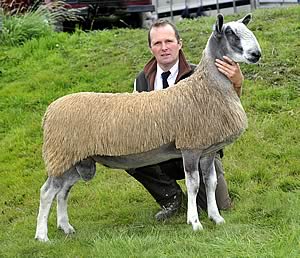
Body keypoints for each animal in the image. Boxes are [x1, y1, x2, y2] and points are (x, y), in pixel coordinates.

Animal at [34, 13, 260, 242]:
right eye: (231, 34)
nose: (256, 54)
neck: (206, 87)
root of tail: (49, 111)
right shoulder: (190, 148)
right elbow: (194, 185)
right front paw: (195, 222)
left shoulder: (208, 150)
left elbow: (211, 182)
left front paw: (216, 217)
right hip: (62, 155)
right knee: (47, 192)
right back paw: (42, 236)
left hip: (76, 160)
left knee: (62, 192)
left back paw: (65, 227)